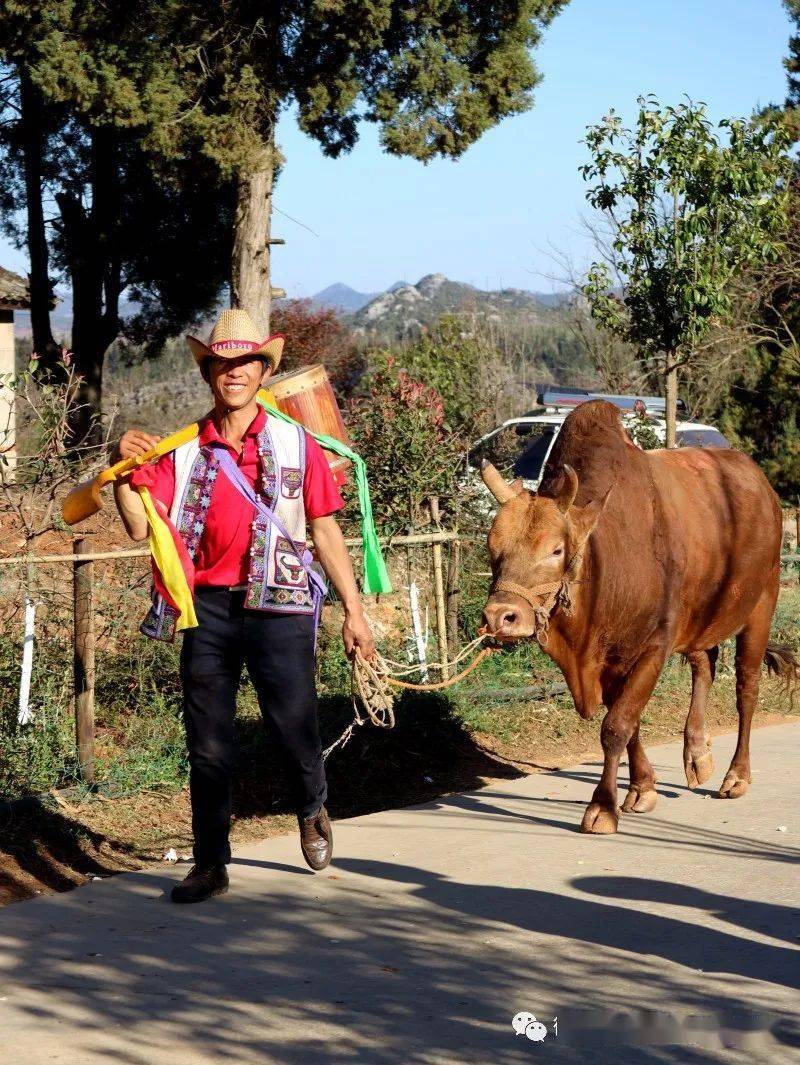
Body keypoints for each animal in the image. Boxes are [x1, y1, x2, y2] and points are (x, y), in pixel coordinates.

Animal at [479, 400, 796, 830]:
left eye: (556, 549)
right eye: (492, 545)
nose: (500, 616)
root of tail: (763, 486)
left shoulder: (653, 647)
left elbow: (616, 726)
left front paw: (602, 806)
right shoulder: (612, 662)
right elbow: (630, 724)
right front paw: (642, 787)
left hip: (761, 605)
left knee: (746, 689)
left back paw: (736, 776)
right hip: (699, 620)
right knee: (705, 664)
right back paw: (697, 753)